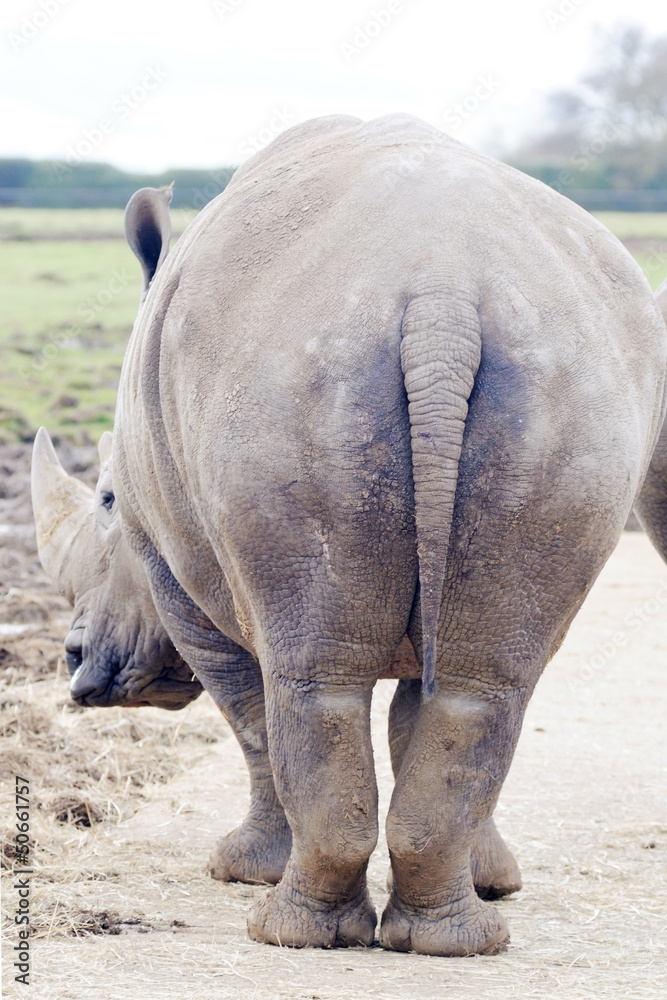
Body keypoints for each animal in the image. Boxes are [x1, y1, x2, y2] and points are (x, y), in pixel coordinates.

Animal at [31, 114, 667, 956]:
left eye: (104, 499)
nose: (74, 666)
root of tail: (442, 293)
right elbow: (412, 723)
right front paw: (494, 880)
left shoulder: (170, 572)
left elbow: (248, 715)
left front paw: (237, 870)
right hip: (564, 378)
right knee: (480, 686)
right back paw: (453, 942)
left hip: (298, 370)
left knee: (308, 680)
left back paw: (285, 933)